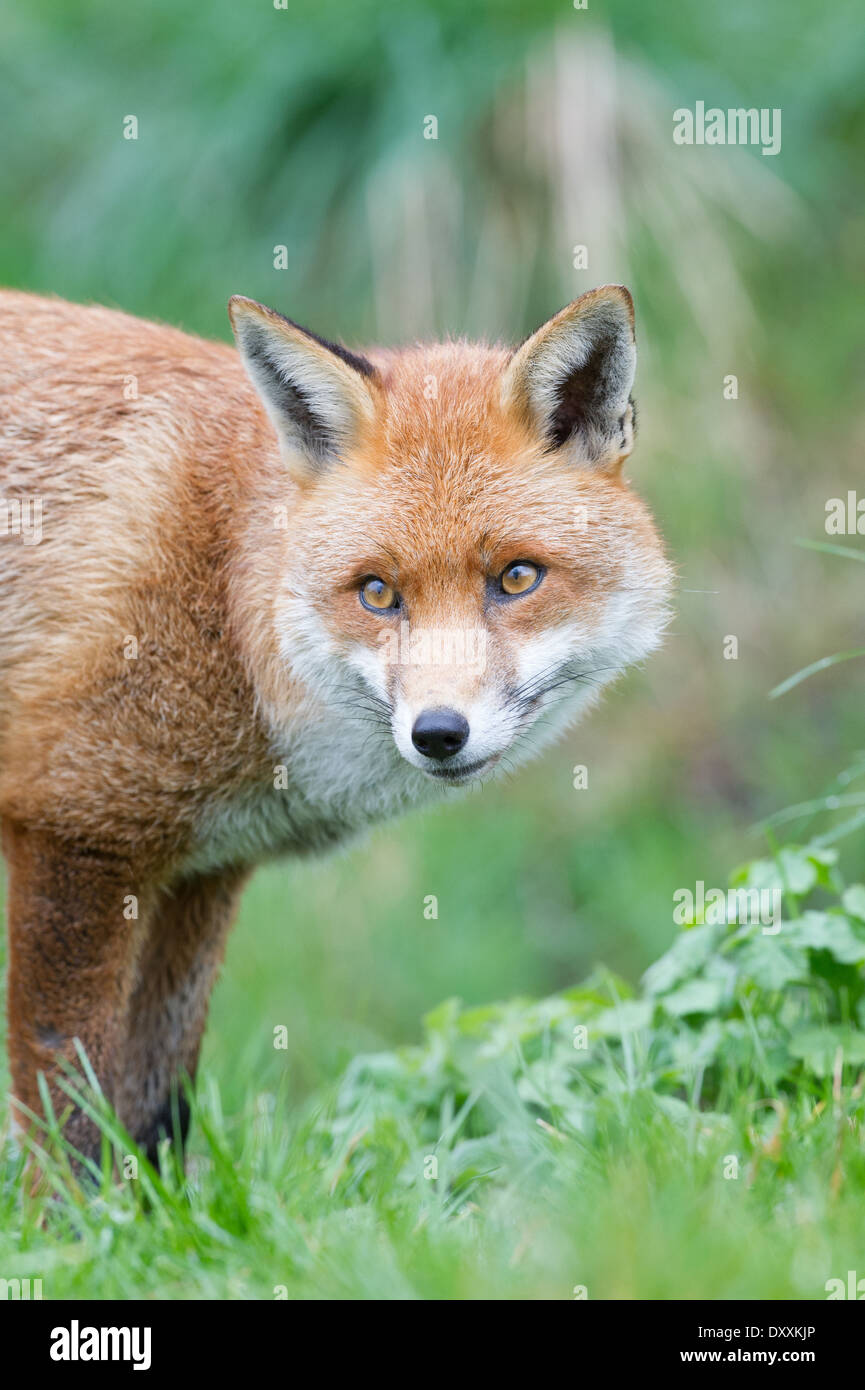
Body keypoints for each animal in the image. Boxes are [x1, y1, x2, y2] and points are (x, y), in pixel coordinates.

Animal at [0, 287, 675, 1167]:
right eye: (377, 592)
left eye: (516, 578)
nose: (438, 733)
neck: (223, 600)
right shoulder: (74, 835)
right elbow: (70, 1114)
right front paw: (73, 1210)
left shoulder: (200, 871)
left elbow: (153, 1106)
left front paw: (156, 1207)